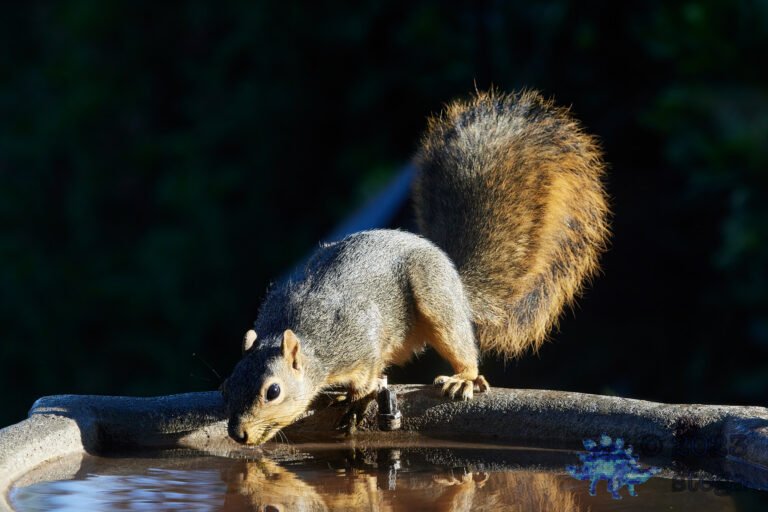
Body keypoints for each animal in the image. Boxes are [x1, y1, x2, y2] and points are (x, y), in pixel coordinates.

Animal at [220, 90, 609, 445]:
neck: (304, 336)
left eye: (273, 391)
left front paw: (357, 401)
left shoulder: (361, 339)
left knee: (459, 345)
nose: (238, 433)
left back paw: (463, 377)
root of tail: (453, 275)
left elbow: (367, 376)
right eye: (226, 386)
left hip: (435, 299)